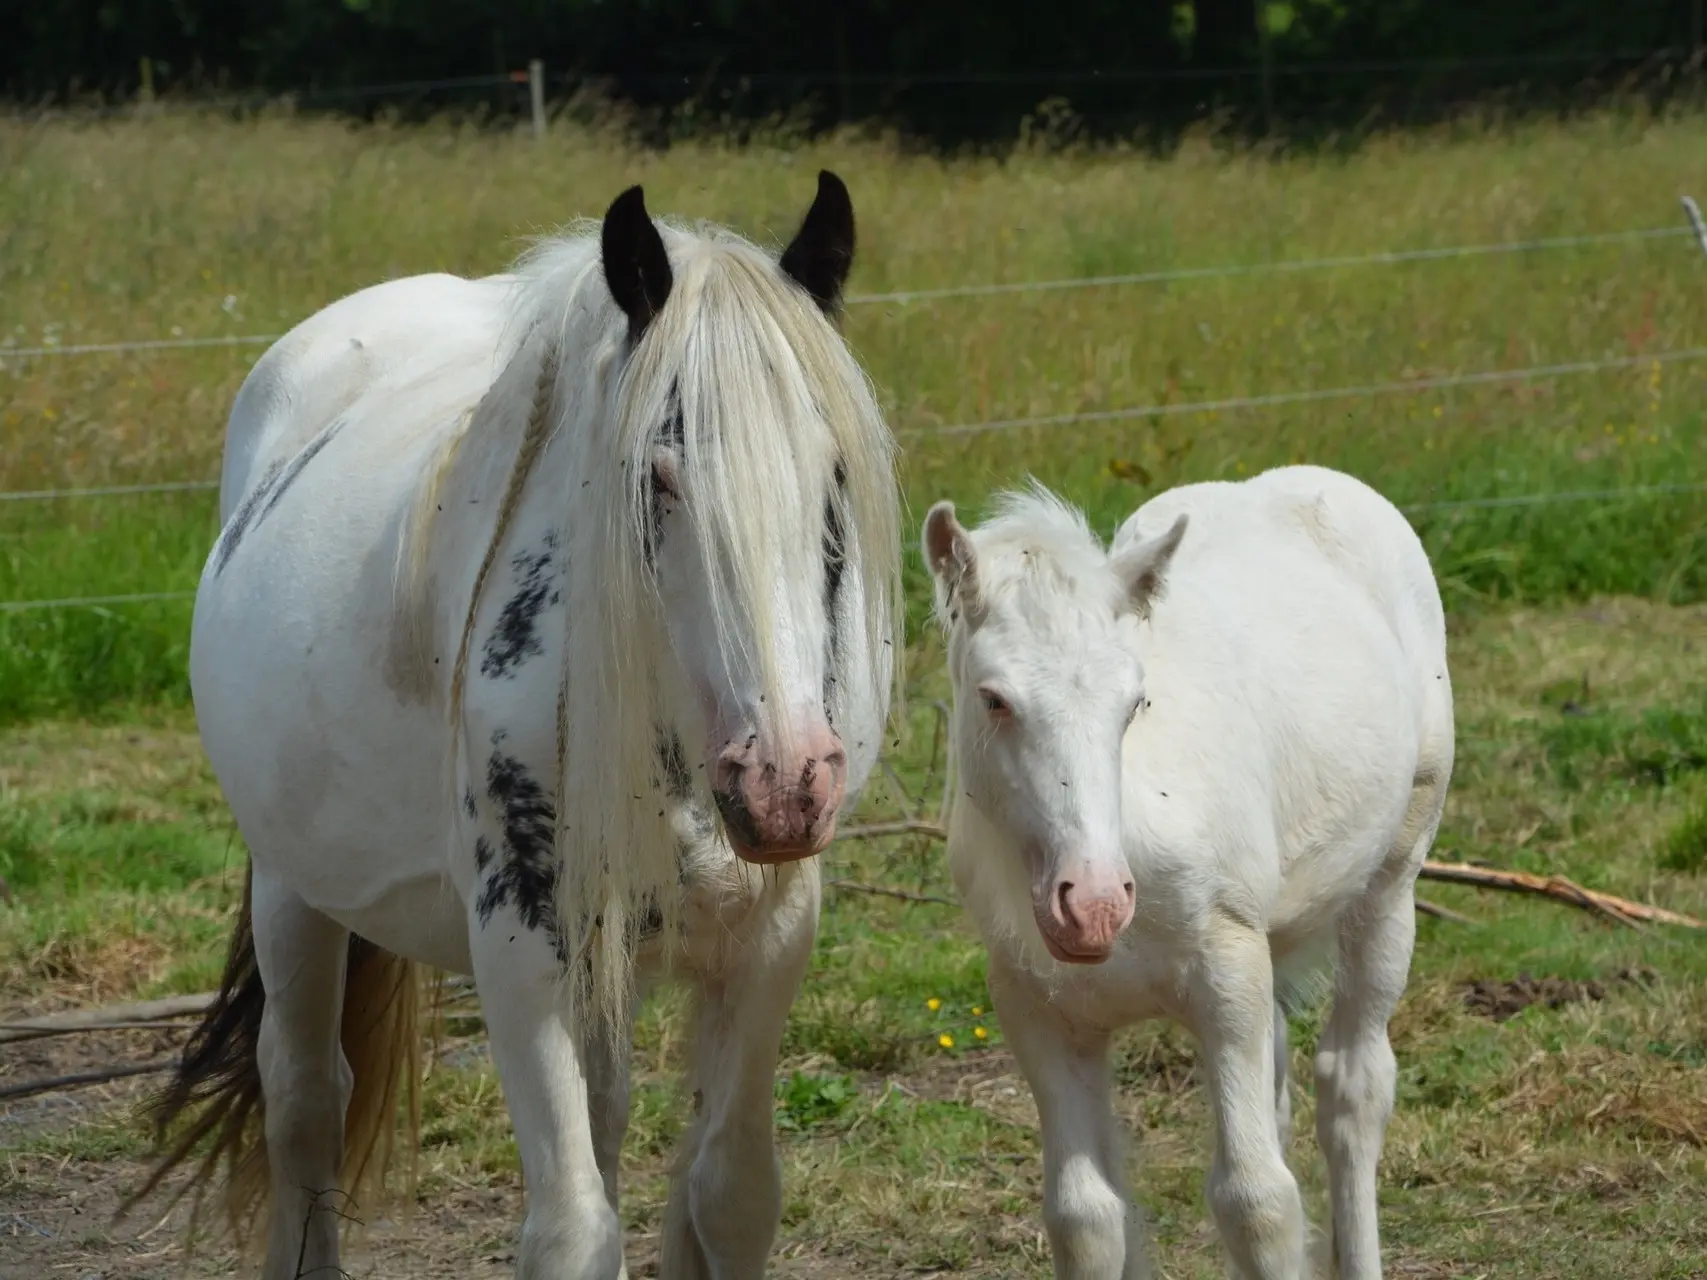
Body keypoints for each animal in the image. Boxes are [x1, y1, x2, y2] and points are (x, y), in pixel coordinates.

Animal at [129, 173, 908, 1280]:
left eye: (833, 472)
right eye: (656, 478)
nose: (784, 782)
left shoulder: (768, 933)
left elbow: (729, 1193)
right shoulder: (518, 935)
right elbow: (574, 1228)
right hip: (293, 885)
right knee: (305, 1099)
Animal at [921, 467, 1454, 1280]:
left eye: (1133, 701)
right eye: (993, 699)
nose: (1094, 905)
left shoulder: (1226, 972)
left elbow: (1258, 1200)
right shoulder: (1036, 1007)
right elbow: (1085, 1215)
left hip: (1392, 876)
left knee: (1353, 1089)